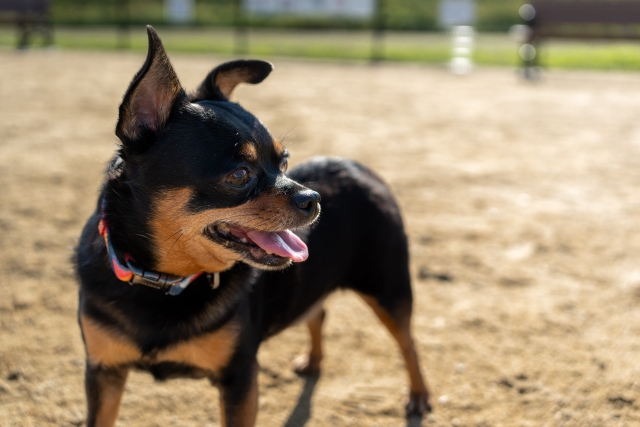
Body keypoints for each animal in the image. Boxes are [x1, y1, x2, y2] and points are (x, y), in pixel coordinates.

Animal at [77, 25, 432, 426]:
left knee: (408, 343)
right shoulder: (103, 372)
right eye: (239, 175)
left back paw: (418, 396)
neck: (165, 282)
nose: (312, 198)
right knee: (318, 311)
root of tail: (359, 167)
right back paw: (314, 362)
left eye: (284, 161)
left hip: (389, 290)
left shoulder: (240, 379)